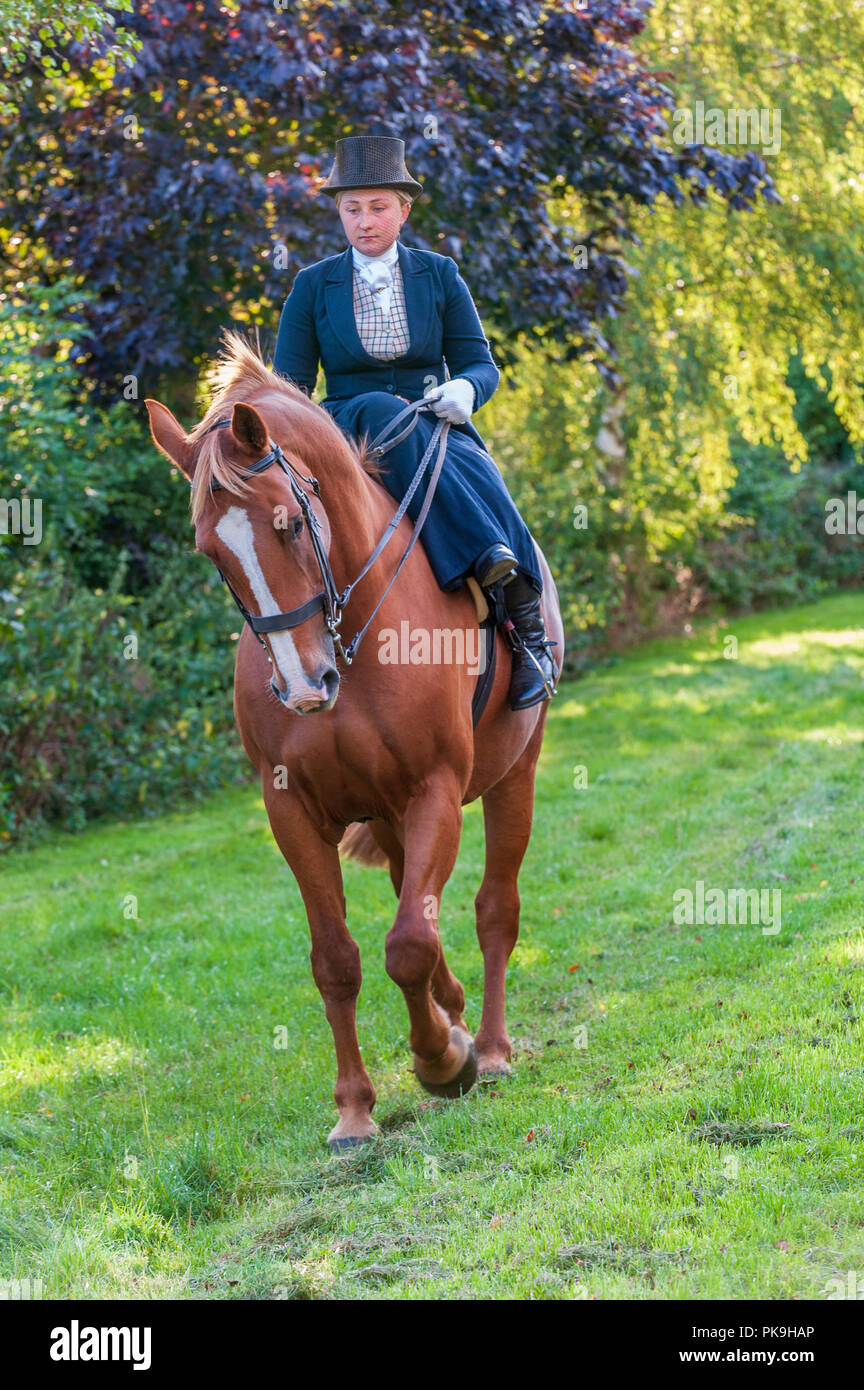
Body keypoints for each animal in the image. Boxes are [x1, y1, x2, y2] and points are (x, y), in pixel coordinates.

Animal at [147, 336, 569, 1150]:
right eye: (211, 552)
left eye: (287, 523)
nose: (304, 685)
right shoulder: (294, 813)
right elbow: (338, 958)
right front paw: (354, 1111)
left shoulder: (436, 788)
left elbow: (406, 944)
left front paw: (441, 1063)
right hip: (391, 814)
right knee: (420, 903)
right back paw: (456, 1015)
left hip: (514, 776)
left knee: (492, 909)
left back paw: (489, 1048)